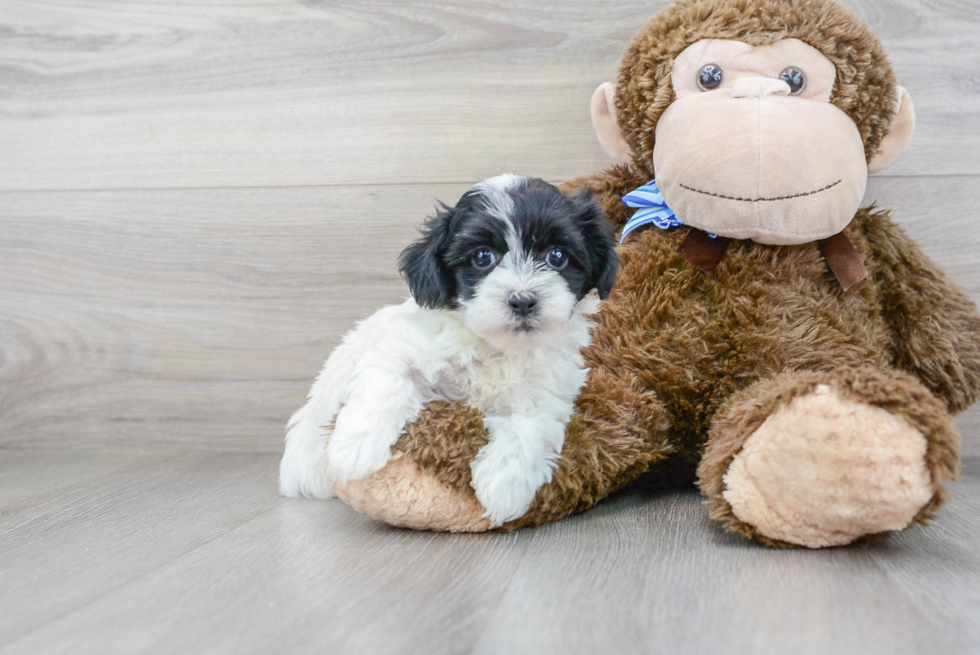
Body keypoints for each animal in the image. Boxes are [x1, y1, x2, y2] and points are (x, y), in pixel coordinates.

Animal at [280, 174, 616, 528]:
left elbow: (530, 427)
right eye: (482, 258)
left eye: (557, 256)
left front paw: (503, 487)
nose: (523, 300)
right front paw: (355, 448)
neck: (497, 346)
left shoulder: (547, 392)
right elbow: (387, 384)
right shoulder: (400, 347)